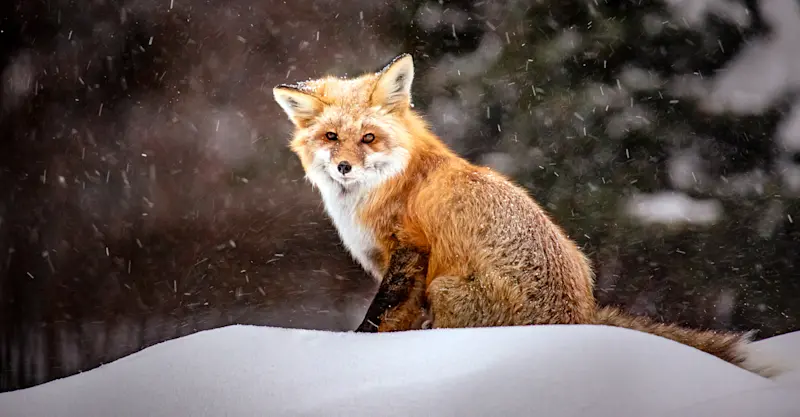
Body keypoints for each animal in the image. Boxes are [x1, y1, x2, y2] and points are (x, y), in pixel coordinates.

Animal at [273, 53, 776, 377]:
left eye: (369, 138)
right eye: (332, 137)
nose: (344, 167)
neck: (393, 185)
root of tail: (579, 317)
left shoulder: (410, 251)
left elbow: (381, 319)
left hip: (445, 288)